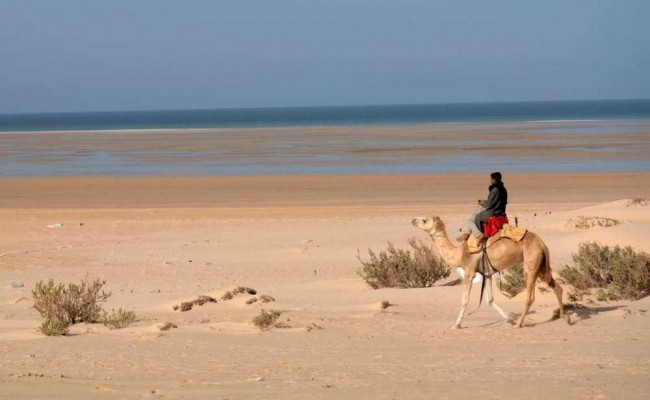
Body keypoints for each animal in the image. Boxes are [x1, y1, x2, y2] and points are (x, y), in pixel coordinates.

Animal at [410, 216, 568, 328]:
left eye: (424, 220)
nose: (413, 220)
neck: (459, 254)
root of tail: (541, 243)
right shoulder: (487, 274)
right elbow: (490, 300)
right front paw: (510, 319)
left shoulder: (470, 272)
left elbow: (464, 300)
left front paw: (456, 325)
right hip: (542, 264)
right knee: (556, 286)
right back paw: (565, 318)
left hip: (531, 262)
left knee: (530, 296)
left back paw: (519, 324)